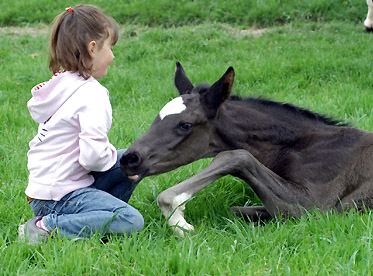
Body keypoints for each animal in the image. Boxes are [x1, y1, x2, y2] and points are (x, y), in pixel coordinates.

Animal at [120, 62, 372, 237]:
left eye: (185, 125)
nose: (129, 159)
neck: (299, 145)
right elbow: (236, 209)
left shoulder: (313, 207)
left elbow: (235, 155)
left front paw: (177, 218)